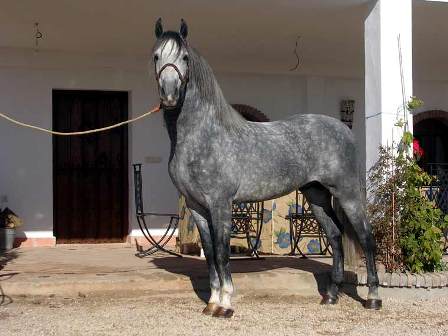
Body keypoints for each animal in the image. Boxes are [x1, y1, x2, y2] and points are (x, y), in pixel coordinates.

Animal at [150, 18, 382, 318]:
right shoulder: (196, 207)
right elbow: (210, 255)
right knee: (334, 236)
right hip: (316, 196)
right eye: (156, 56)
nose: (169, 95)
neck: (202, 136)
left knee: (365, 237)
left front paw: (225, 304)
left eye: (185, 57)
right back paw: (331, 295)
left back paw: (373, 298)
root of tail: (345, 130)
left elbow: (223, 253)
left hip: (348, 194)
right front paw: (211, 303)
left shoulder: (220, 204)